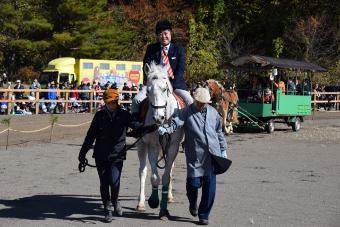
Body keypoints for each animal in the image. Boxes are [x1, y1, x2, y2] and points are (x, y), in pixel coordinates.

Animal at [135, 61, 185, 219]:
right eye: (148, 91)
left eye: (164, 89)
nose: (158, 117)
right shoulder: (153, 146)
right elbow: (154, 177)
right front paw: (153, 201)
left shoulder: (173, 146)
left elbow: (167, 176)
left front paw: (164, 209)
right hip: (141, 145)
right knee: (143, 171)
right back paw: (141, 203)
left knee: (170, 170)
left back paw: (169, 196)